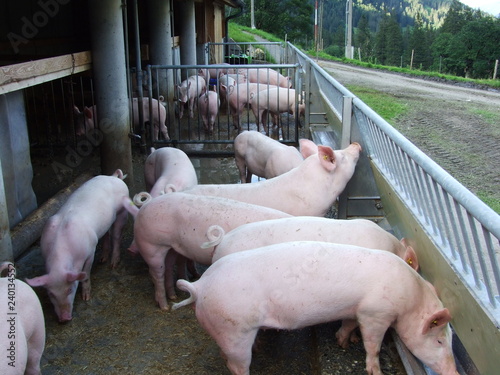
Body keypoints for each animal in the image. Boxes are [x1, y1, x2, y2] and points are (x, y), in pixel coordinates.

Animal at [26, 170, 130, 324]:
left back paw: (113, 264)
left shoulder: (90, 251)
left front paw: (86, 298)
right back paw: (103, 260)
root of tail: (115, 178)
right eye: (51, 294)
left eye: (70, 289)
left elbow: (85, 273)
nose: (64, 318)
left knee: (116, 236)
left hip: (122, 211)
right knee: (106, 235)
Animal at [125, 192, 292, 310]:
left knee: (168, 267)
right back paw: (165, 306)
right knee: (156, 273)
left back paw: (173, 297)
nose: (129, 250)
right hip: (151, 245)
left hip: (172, 247)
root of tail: (147, 203)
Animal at [174, 241, 458, 375]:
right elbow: (373, 346)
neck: (410, 298)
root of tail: (200, 286)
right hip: (233, 329)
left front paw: (345, 342)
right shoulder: (375, 313)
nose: (454, 372)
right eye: (440, 341)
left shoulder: (355, 309)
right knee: (237, 366)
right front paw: (375, 371)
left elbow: (348, 325)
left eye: (451, 339)